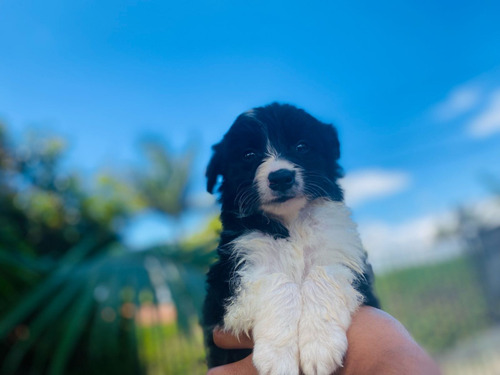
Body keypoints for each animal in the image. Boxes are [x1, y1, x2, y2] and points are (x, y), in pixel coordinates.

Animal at [201, 103, 376, 375]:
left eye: (302, 147)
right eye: (248, 155)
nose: (281, 177)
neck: (291, 223)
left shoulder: (343, 258)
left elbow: (321, 275)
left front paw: (319, 344)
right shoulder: (228, 283)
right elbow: (279, 281)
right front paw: (278, 356)